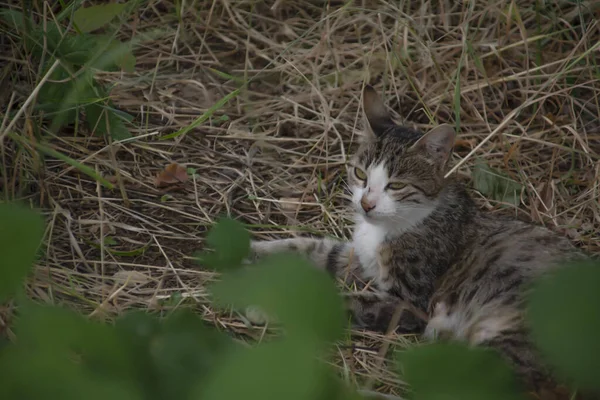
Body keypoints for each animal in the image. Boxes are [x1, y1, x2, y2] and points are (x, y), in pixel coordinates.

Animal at [247, 84, 584, 396]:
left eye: (396, 186)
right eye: (360, 174)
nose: (366, 204)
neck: (384, 227)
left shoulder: (410, 301)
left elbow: (342, 301)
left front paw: (268, 309)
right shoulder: (357, 259)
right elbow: (307, 247)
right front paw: (249, 250)